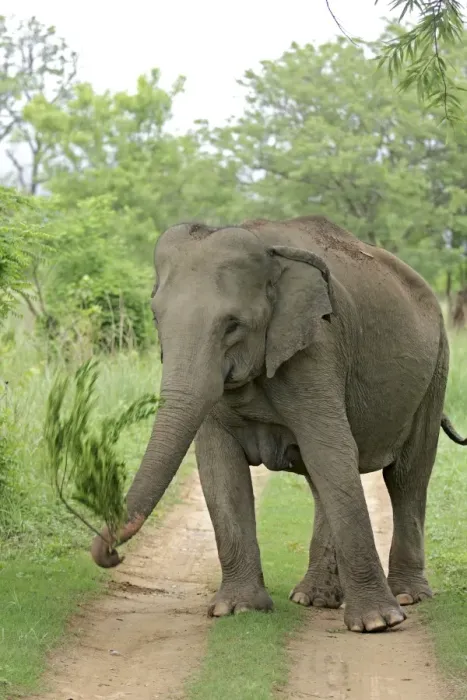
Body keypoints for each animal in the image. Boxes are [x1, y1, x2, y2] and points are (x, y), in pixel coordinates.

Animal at [91, 215, 467, 633]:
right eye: (157, 318)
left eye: (233, 325)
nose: (113, 555)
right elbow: (220, 468)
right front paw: (238, 609)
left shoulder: (318, 347)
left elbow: (332, 451)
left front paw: (377, 623)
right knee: (326, 480)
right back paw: (314, 598)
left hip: (436, 367)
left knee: (405, 477)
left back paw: (406, 597)